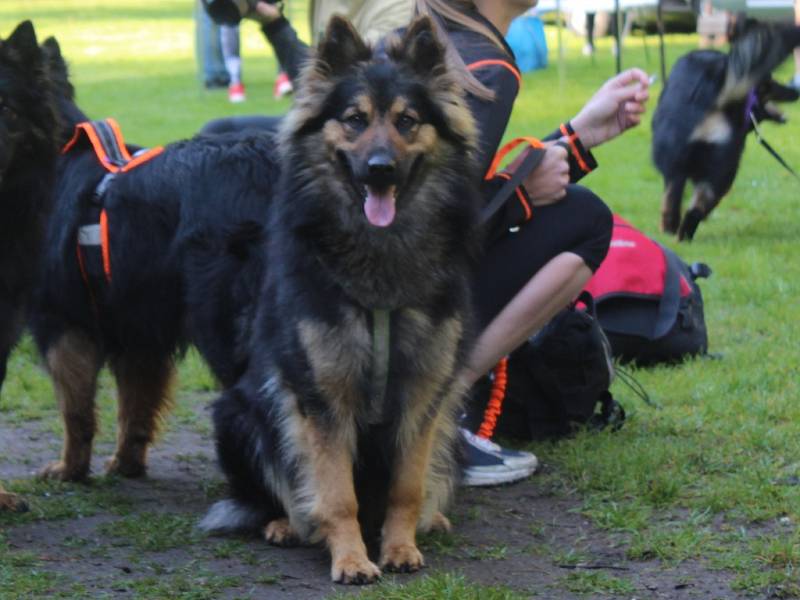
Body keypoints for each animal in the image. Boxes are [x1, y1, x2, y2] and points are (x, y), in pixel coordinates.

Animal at [29, 42, 280, 482]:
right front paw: (126, 464)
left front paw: (70, 469)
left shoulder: (61, 323)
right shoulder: (138, 332)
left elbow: (75, 411)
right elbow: (135, 408)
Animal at [200, 17, 482, 580]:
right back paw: (286, 524)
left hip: (450, 427)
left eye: (408, 120)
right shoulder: (322, 397)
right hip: (242, 413)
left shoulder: (424, 394)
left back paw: (431, 521)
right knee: (274, 493)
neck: (380, 259)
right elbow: (336, 494)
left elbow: (406, 487)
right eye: (354, 120)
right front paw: (351, 558)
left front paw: (399, 547)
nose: (379, 169)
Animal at [648, 19, 800, 239]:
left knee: (680, 203)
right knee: (692, 206)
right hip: (718, 168)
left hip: (706, 168)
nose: (796, 91)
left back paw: (675, 232)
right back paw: (680, 234)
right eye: (770, 82)